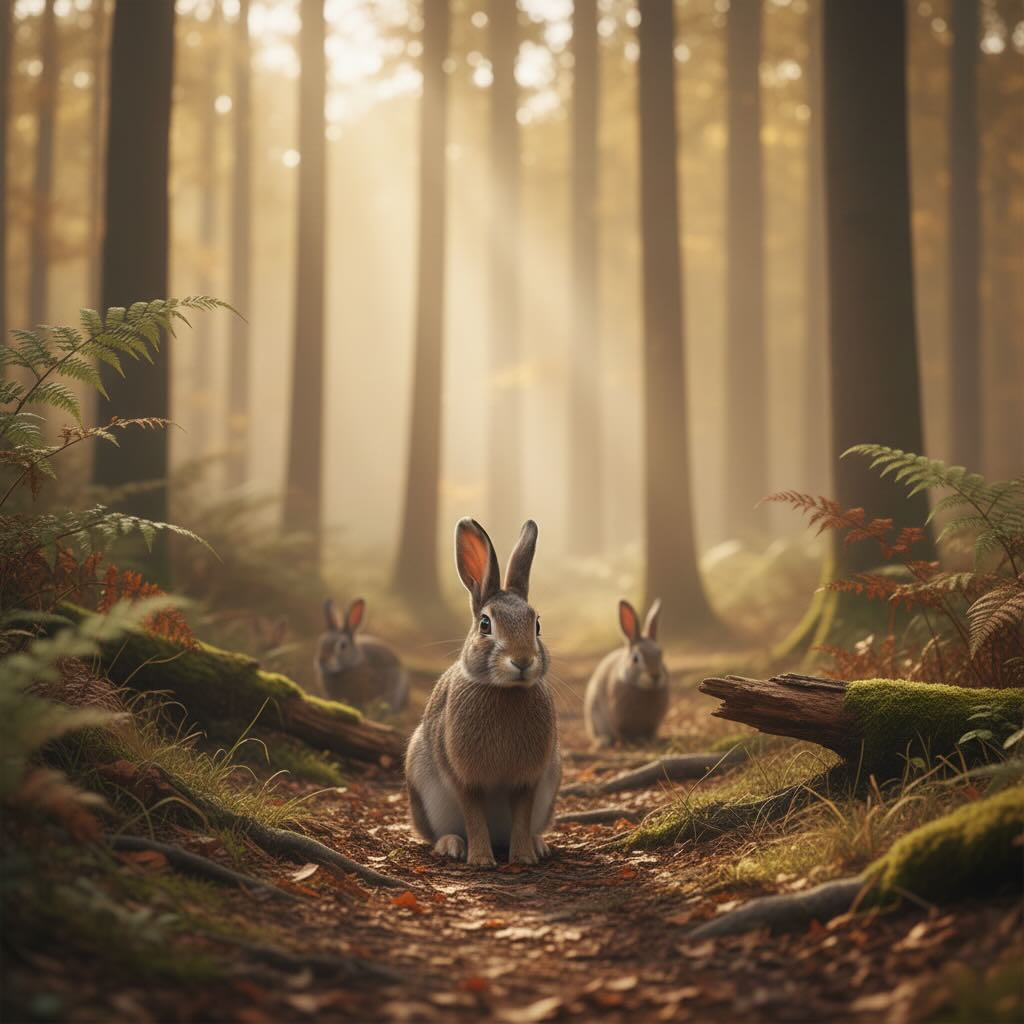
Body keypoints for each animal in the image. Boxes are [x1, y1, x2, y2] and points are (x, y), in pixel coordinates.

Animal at [405, 518, 561, 867]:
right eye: (485, 625)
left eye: (537, 625)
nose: (522, 661)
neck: (506, 690)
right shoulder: (464, 777)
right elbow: (474, 816)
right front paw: (480, 860)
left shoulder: (528, 779)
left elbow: (521, 816)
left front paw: (523, 858)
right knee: (436, 832)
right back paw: (450, 844)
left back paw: (537, 844)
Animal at [584, 598, 668, 746]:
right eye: (635, 659)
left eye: (660, 654)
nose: (655, 676)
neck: (645, 689)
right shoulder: (616, 716)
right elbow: (619, 731)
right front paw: (624, 743)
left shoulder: (654, 723)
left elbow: (651, 732)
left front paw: (653, 741)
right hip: (594, 717)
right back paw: (604, 741)